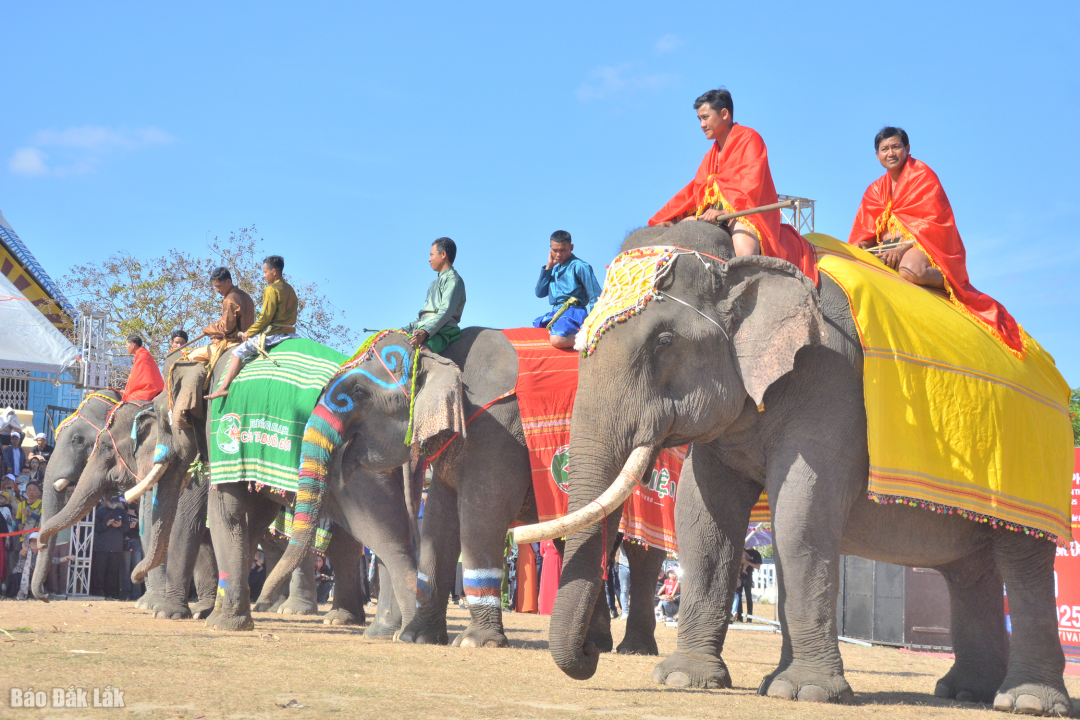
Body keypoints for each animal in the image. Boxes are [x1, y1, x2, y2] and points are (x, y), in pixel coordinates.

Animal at [159, 354, 412, 630]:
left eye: (162, 422)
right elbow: (252, 520)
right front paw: (219, 617)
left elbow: (228, 513)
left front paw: (219, 624)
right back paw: (350, 620)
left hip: (364, 479)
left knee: (382, 537)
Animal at [259, 332, 665, 651]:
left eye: (358, 392)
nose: (262, 600)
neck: (441, 353)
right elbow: (440, 521)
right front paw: (417, 638)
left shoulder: (497, 427)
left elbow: (481, 515)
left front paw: (474, 642)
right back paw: (594, 645)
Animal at [524, 222, 1071, 716]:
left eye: (663, 341)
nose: (593, 649)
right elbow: (703, 521)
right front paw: (685, 678)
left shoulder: (830, 378)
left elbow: (801, 514)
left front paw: (801, 692)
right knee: (968, 571)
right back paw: (964, 693)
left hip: (1036, 467)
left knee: (1023, 563)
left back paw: (1025, 702)